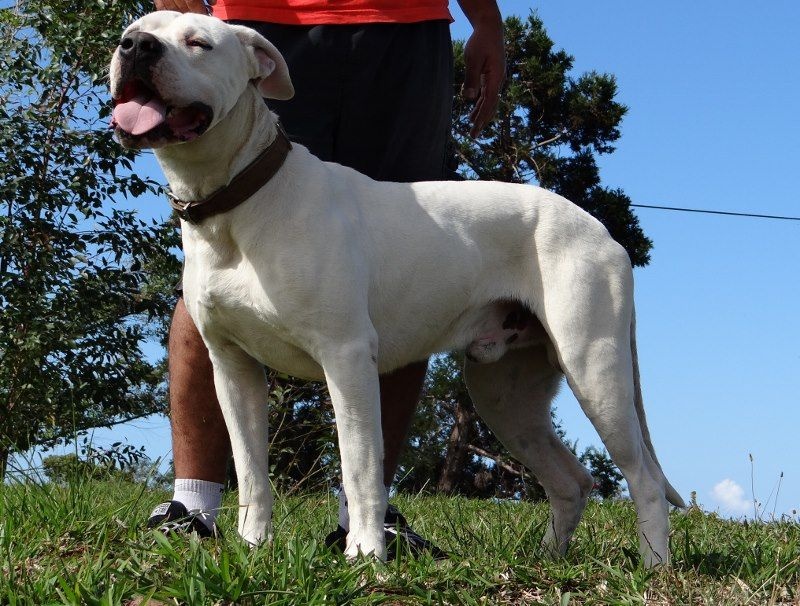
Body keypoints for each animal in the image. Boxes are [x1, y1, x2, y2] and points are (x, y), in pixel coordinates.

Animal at [110, 11, 684, 567]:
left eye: (199, 43)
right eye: (132, 32)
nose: (136, 47)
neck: (240, 201)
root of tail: (602, 230)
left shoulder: (346, 357)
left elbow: (361, 468)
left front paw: (365, 554)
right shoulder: (232, 366)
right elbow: (251, 471)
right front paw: (253, 549)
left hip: (594, 368)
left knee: (645, 480)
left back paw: (655, 566)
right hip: (506, 395)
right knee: (571, 481)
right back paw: (546, 559)